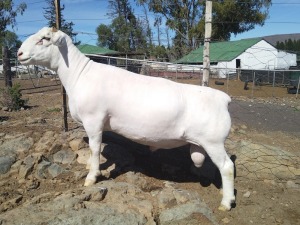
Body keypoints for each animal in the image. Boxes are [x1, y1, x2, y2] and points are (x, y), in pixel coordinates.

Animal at [17, 27, 236, 212]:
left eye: (45, 39)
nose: (18, 53)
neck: (79, 75)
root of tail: (223, 98)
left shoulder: (93, 120)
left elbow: (95, 148)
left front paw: (91, 177)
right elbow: (94, 149)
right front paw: (90, 166)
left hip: (213, 142)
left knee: (226, 167)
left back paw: (226, 202)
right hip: (204, 142)